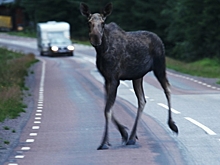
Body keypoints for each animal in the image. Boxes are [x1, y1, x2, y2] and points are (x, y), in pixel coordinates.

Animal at [80, 2, 178, 150]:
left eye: (103, 23)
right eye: (88, 22)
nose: (96, 38)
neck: (102, 51)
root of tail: (159, 38)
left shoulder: (114, 79)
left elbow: (107, 110)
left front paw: (104, 142)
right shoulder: (107, 79)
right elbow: (108, 107)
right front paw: (124, 133)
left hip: (159, 67)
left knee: (167, 88)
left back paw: (172, 125)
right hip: (137, 76)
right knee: (142, 100)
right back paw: (132, 137)